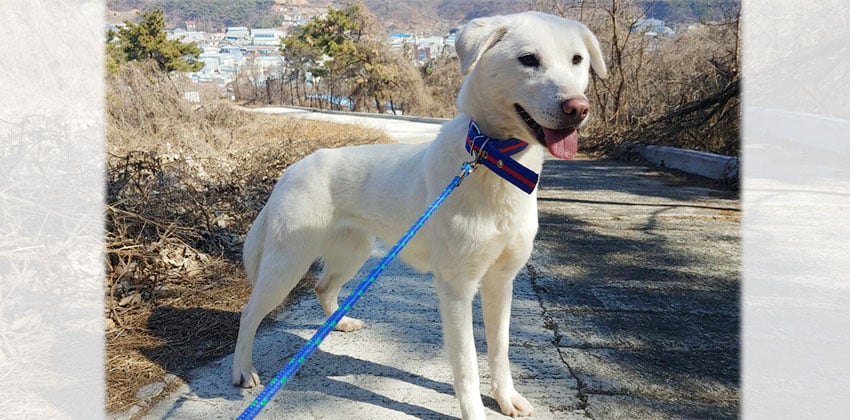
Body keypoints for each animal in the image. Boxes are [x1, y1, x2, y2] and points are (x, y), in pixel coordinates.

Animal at [232, 11, 604, 418]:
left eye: (577, 60)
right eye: (528, 59)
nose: (578, 108)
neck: (492, 160)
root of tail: (290, 169)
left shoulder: (501, 281)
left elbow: (500, 350)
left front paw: (506, 398)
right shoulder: (456, 288)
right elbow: (467, 365)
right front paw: (474, 411)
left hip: (353, 251)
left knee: (324, 287)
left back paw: (338, 323)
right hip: (287, 263)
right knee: (250, 312)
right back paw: (243, 370)